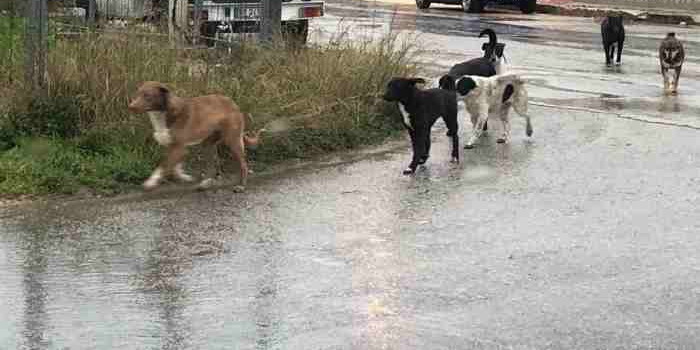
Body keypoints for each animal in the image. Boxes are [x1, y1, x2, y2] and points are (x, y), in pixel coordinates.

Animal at [127, 81, 262, 193]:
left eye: (148, 96)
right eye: (137, 94)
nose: (131, 107)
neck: (164, 113)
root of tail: (233, 103)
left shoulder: (179, 148)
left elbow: (163, 166)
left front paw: (150, 182)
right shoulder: (174, 147)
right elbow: (173, 166)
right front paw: (182, 176)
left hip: (232, 142)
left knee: (243, 165)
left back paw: (241, 186)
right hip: (208, 144)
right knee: (214, 165)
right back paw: (205, 184)